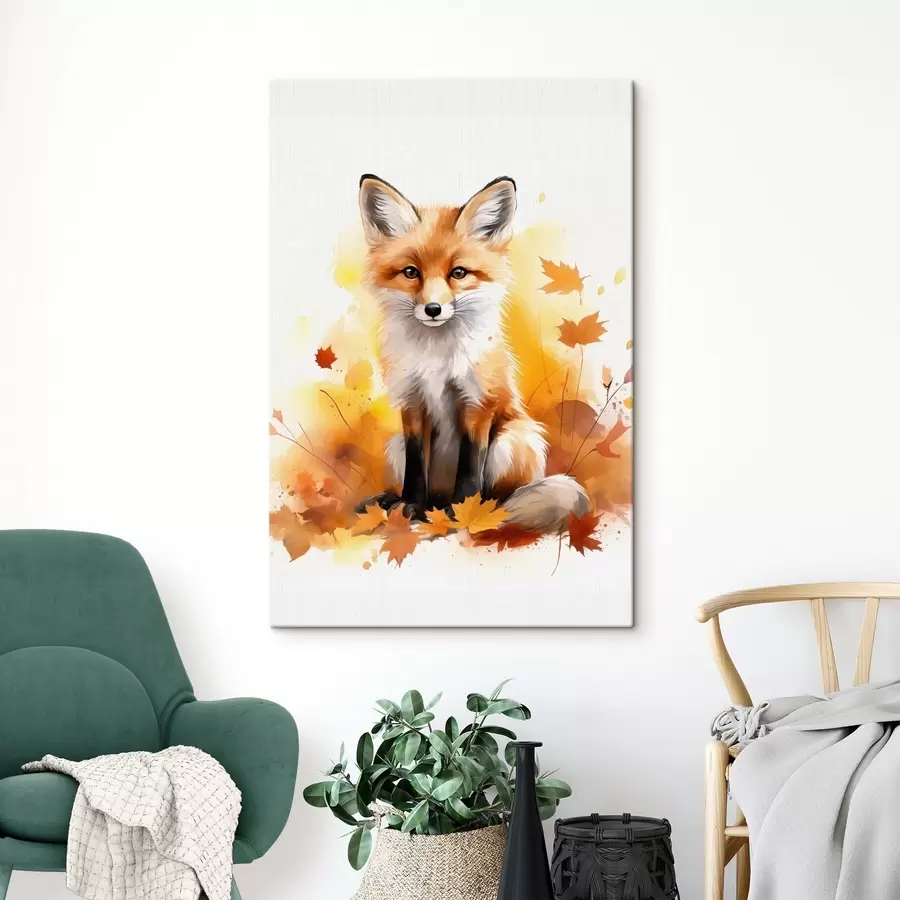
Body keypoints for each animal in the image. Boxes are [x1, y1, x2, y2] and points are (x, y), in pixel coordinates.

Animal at [357, 174, 589, 533]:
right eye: (411, 272)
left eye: (459, 273)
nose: (433, 309)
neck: (437, 358)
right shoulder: (412, 402)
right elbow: (415, 467)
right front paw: (409, 505)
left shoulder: (478, 402)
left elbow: (469, 468)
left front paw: (464, 513)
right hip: (394, 446)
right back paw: (405, 504)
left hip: (512, 441)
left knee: (501, 496)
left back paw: (480, 511)